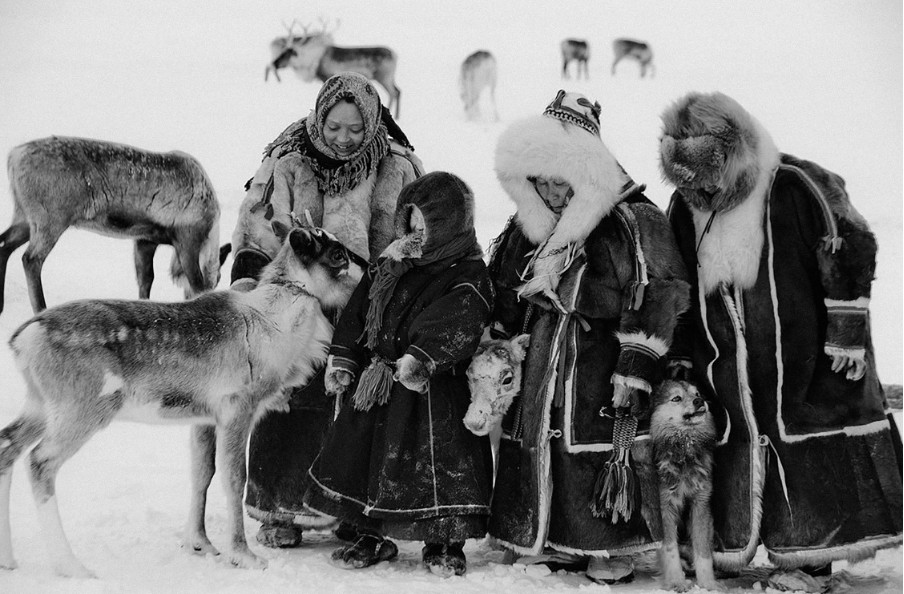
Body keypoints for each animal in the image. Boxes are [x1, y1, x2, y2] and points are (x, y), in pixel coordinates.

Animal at [0, 223, 365, 577]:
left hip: (39, 406)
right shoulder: (237, 409)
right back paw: (70, 566)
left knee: (7, 447)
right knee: (40, 462)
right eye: (337, 254)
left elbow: (202, 472)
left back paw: (9, 559)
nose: (368, 273)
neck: (278, 328)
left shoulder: (203, 418)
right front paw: (243, 555)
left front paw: (199, 542)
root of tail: (23, 339)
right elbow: (234, 479)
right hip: (82, 410)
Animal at [2, 136, 231, 315]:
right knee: (31, 259)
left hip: (24, 217)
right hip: (51, 219)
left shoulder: (145, 239)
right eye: (218, 278)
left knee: (5, 245)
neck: (211, 228)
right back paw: (40, 309)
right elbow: (196, 284)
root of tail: (13, 157)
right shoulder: (187, 240)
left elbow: (145, 280)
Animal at [264, 19, 402, 119]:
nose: (274, 63)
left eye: (288, 53)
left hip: (383, 77)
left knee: (393, 93)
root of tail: (395, 55)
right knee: (398, 90)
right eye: (282, 51)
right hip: (389, 77)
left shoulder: (326, 76)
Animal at [650, 379, 722, 592]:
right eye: (676, 398)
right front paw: (676, 582)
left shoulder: (700, 504)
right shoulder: (665, 508)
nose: (699, 401)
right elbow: (669, 549)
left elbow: (703, 550)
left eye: (696, 393)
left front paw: (707, 584)